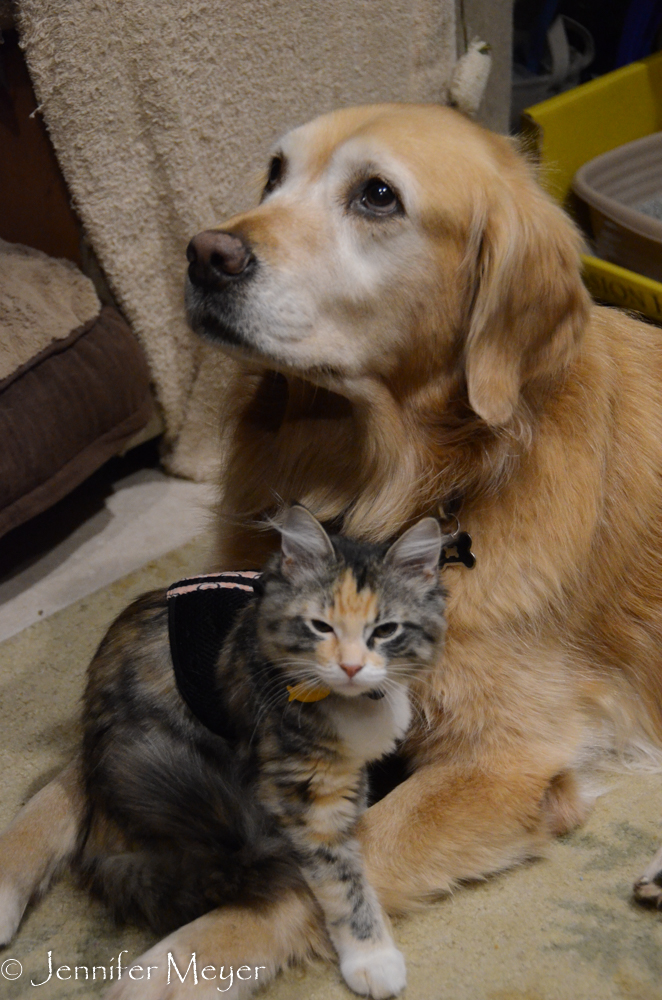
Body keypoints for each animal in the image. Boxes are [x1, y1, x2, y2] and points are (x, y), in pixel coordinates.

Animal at [79, 508, 452, 1000]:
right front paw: (373, 958)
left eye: (385, 630)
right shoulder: (305, 795)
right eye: (320, 627)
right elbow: (344, 883)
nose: (351, 666)